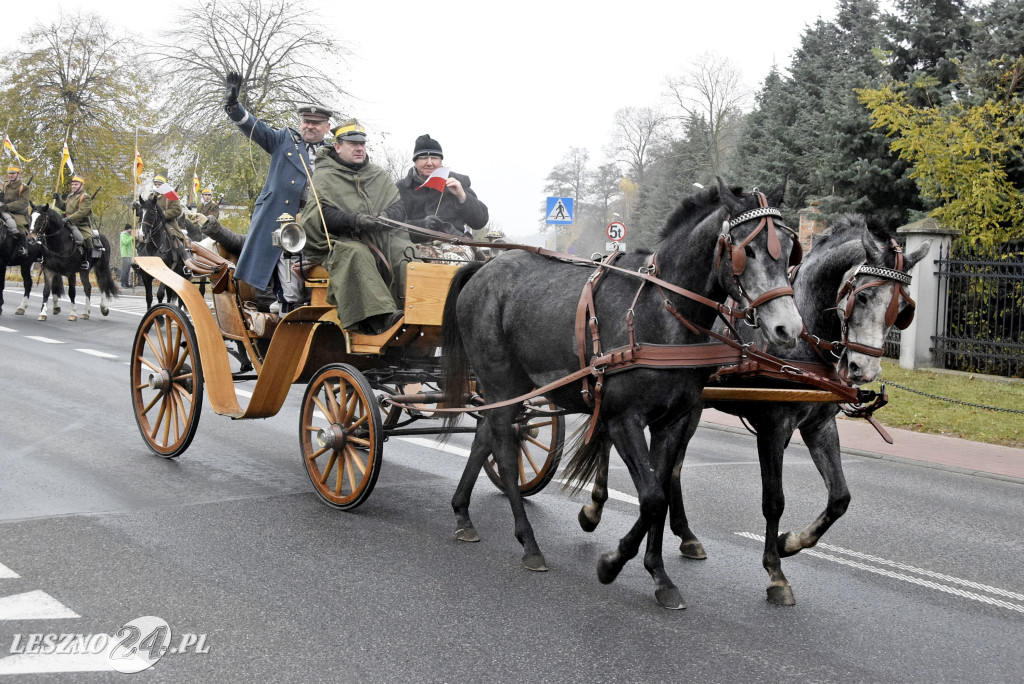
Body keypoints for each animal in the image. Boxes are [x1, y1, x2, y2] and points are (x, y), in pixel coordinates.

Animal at [440, 180, 806, 610]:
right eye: (745, 250)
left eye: (790, 248)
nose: (788, 328)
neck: (661, 312)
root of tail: (483, 267)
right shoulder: (623, 420)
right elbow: (651, 498)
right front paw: (612, 563)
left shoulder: (672, 423)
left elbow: (660, 494)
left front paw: (659, 574)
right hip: (501, 379)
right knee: (502, 443)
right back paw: (528, 542)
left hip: (516, 385)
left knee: (485, 434)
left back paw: (462, 514)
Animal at [577, 211, 929, 602]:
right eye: (864, 296)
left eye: (903, 309)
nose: (862, 369)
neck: (804, 337)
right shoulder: (773, 426)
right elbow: (774, 500)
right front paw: (776, 572)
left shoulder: (819, 425)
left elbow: (840, 498)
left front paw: (791, 542)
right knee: (610, 438)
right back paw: (594, 507)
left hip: (691, 409)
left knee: (673, 470)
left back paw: (686, 535)